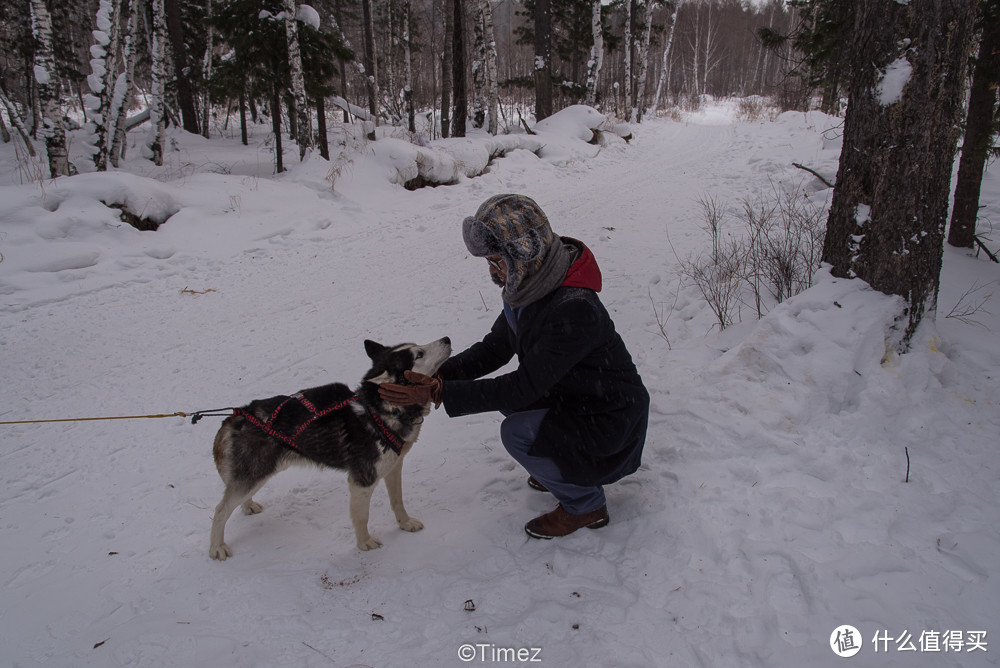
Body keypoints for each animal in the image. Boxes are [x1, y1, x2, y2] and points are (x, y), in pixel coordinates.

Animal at [209, 336, 452, 560]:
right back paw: (216, 547)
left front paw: (405, 523)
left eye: (418, 347)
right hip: (254, 474)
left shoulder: (392, 468)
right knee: (220, 510)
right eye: (419, 354)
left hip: (255, 474)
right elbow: (361, 516)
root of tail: (237, 416)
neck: (379, 412)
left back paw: (248, 506)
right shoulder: (362, 481)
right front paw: (364, 543)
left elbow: (397, 501)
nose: (446, 339)